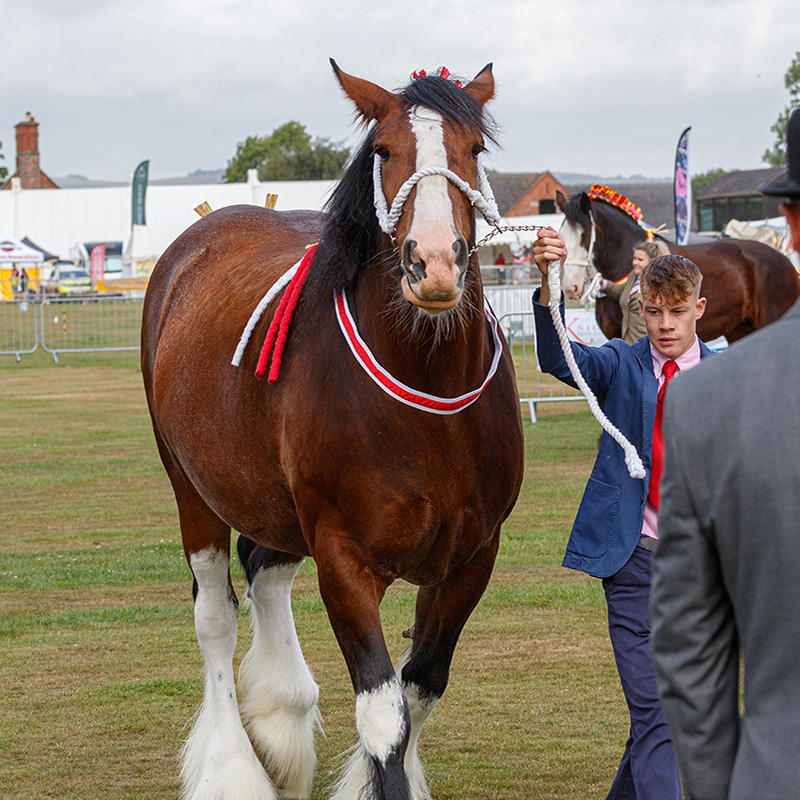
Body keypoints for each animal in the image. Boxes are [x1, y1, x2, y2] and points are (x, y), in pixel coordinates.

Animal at [141, 61, 524, 800]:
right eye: (384, 150)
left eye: (475, 150)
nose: (434, 262)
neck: (428, 395)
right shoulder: (344, 558)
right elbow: (384, 716)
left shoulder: (472, 557)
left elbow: (421, 686)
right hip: (193, 490)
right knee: (216, 619)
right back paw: (233, 765)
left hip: (276, 504)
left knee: (264, 571)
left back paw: (281, 717)